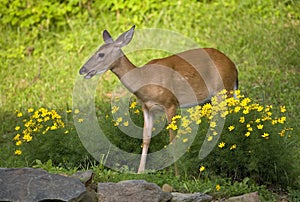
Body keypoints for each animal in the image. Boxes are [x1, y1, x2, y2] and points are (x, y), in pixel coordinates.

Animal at [79, 24, 239, 174]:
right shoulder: (147, 108)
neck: (145, 80)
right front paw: (140, 172)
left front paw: (177, 174)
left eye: (101, 54)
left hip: (224, 90)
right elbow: (146, 138)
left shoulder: (171, 103)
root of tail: (234, 66)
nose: (82, 70)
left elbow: (172, 139)